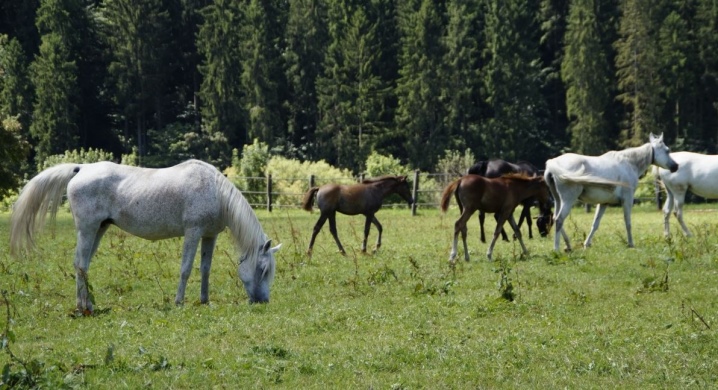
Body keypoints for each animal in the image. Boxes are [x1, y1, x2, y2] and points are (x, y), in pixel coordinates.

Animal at [11, 158, 282, 314]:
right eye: (262, 269)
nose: (263, 301)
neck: (214, 190)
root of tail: (81, 169)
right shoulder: (192, 232)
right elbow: (186, 269)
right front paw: (179, 302)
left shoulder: (209, 236)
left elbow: (205, 269)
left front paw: (204, 301)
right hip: (87, 229)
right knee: (79, 265)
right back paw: (82, 309)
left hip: (99, 229)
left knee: (83, 265)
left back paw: (88, 305)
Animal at [544, 133, 680, 251]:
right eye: (667, 150)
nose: (676, 166)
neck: (629, 163)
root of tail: (552, 163)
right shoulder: (627, 200)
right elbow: (628, 222)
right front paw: (631, 244)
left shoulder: (604, 203)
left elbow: (595, 224)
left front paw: (586, 244)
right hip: (568, 200)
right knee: (559, 220)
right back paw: (556, 248)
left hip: (558, 200)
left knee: (555, 218)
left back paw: (568, 245)